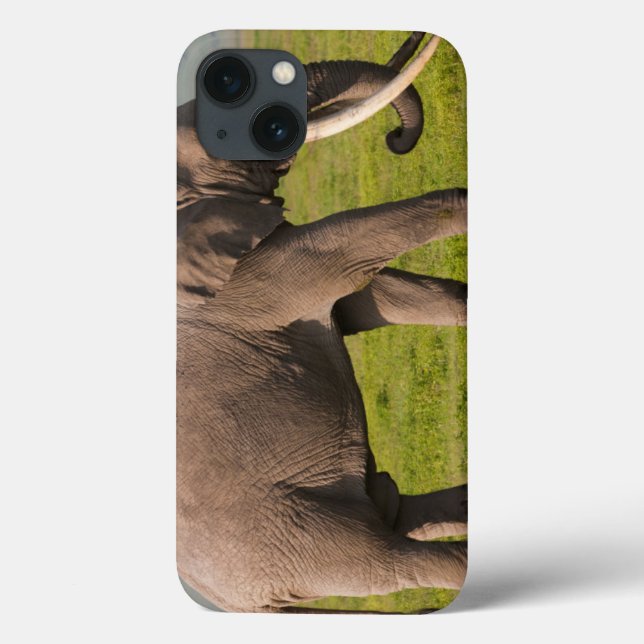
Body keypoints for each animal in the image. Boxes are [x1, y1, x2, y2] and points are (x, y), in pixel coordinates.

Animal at [177, 33, 468, 613]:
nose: (396, 138)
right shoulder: (242, 282)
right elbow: (343, 251)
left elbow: (378, 300)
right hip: (292, 539)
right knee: (404, 559)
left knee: (404, 511)